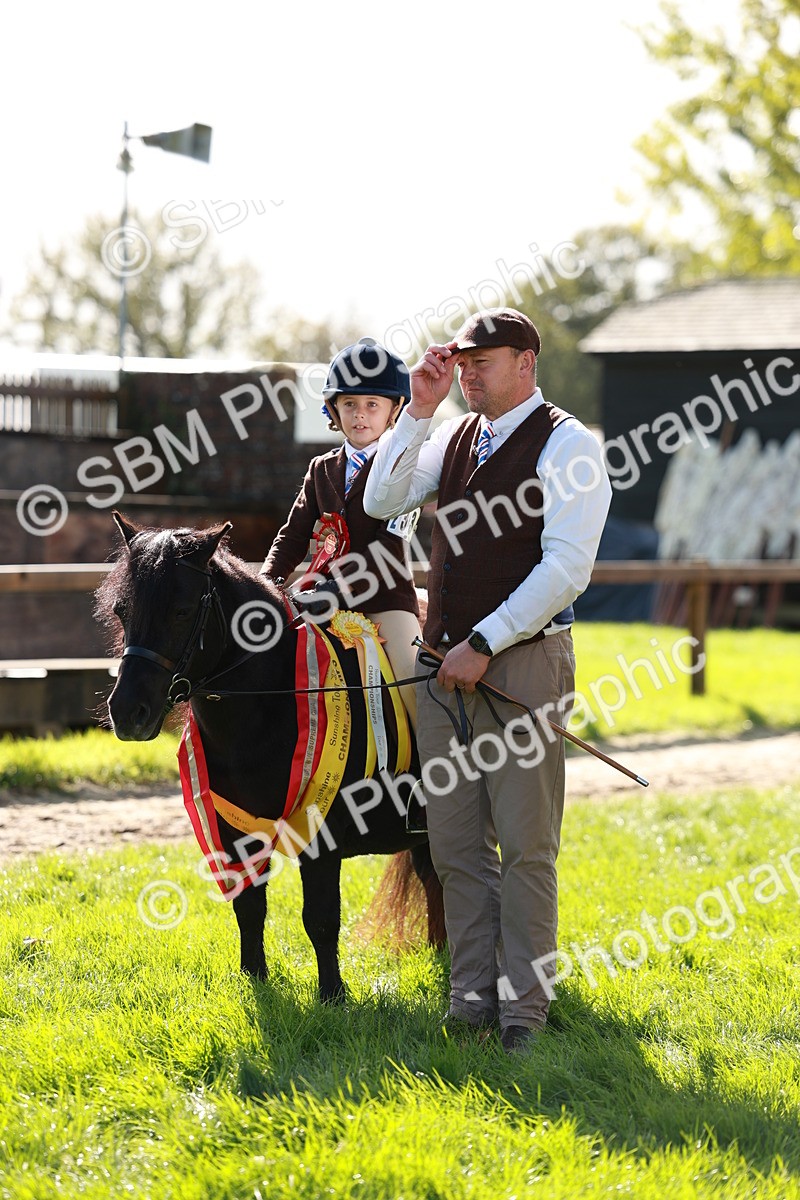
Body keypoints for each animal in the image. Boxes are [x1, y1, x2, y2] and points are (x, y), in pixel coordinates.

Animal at [94, 512, 444, 1002]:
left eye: (181, 610)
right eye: (121, 611)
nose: (128, 713)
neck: (267, 704)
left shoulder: (322, 829)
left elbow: (320, 918)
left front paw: (332, 996)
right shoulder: (234, 828)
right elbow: (249, 907)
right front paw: (254, 979)